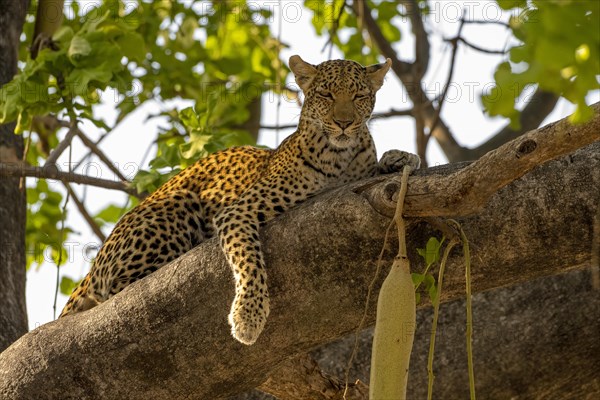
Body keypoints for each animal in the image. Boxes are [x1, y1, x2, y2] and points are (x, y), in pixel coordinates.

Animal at [58, 54, 420, 346]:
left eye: (360, 96)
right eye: (326, 94)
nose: (344, 123)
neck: (341, 158)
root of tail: (92, 268)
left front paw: (400, 157)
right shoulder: (237, 211)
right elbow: (249, 260)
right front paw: (248, 315)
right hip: (176, 203)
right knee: (116, 291)